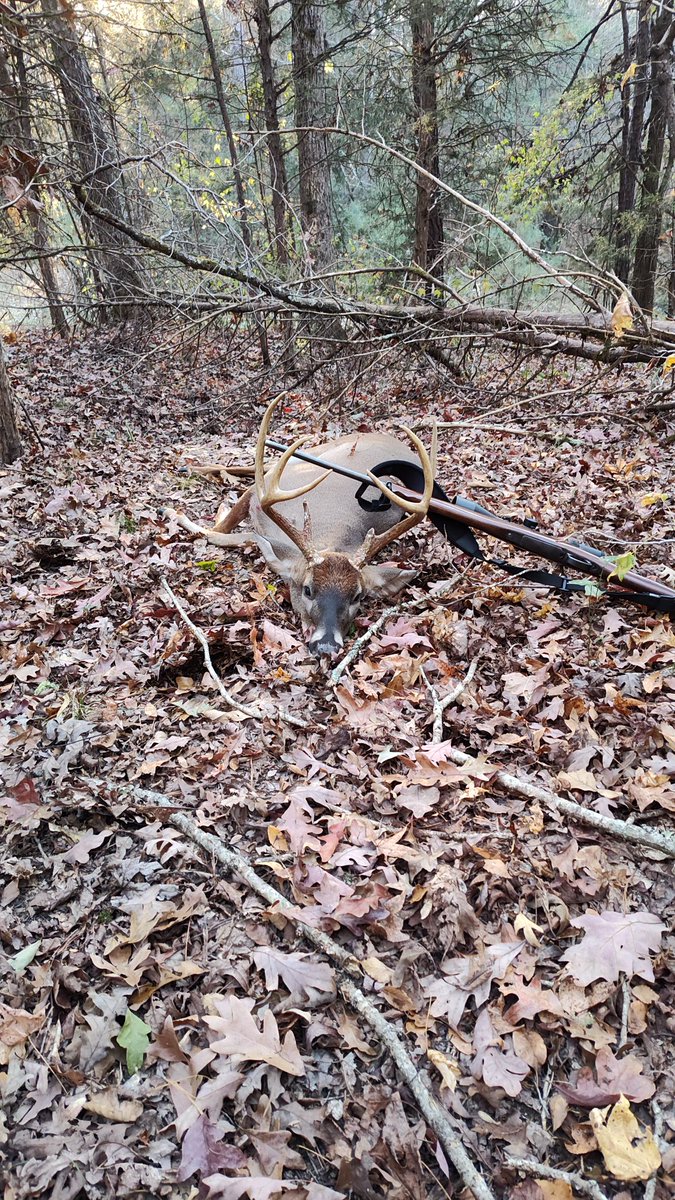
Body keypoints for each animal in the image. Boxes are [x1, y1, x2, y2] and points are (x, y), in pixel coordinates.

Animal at [167, 397, 435, 657]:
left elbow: (234, 535)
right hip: (306, 456)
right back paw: (189, 467)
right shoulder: (258, 492)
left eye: (358, 596)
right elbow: (219, 531)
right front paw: (175, 513)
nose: (326, 646)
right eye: (307, 589)